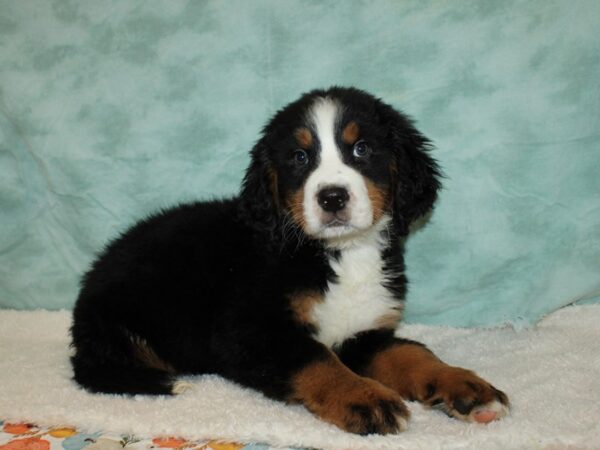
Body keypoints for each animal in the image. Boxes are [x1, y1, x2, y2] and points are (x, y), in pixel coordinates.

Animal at [71, 86, 510, 434]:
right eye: (300, 157)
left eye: (362, 149)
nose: (332, 197)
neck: (341, 254)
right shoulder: (249, 330)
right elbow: (315, 359)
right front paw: (365, 398)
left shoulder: (362, 333)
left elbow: (411, 353)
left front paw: (467, 388)